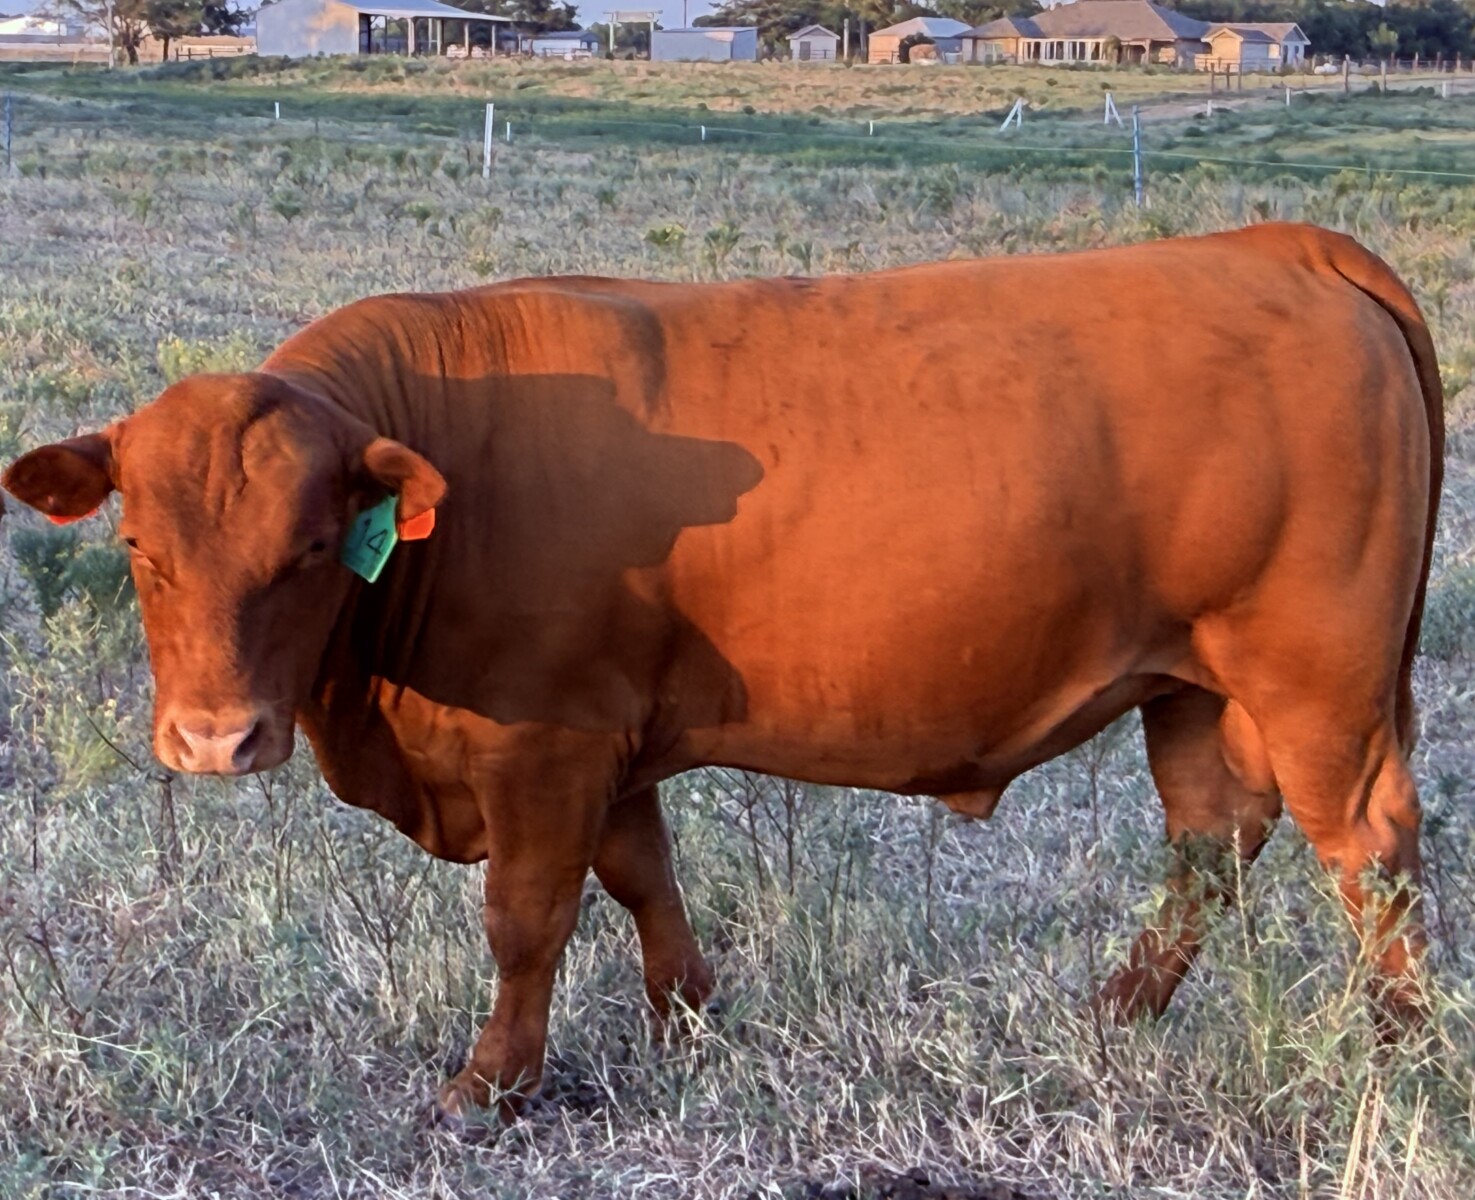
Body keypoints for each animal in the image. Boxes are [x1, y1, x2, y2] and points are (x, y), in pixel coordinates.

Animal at [3, 223, 1443, 1118]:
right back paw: (1114, 1015)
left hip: (1316, 687)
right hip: (1190, 687)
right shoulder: (608, 737)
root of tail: (1270, 245)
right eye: (136, 546)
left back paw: (1401, 1052)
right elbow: (641, 876)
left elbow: (527, 917)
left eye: (310, 550)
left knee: (1367, 852)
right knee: (1211, 843)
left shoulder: (545, 741)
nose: (214, 739)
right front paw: (689, 1020)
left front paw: (492, 1084)